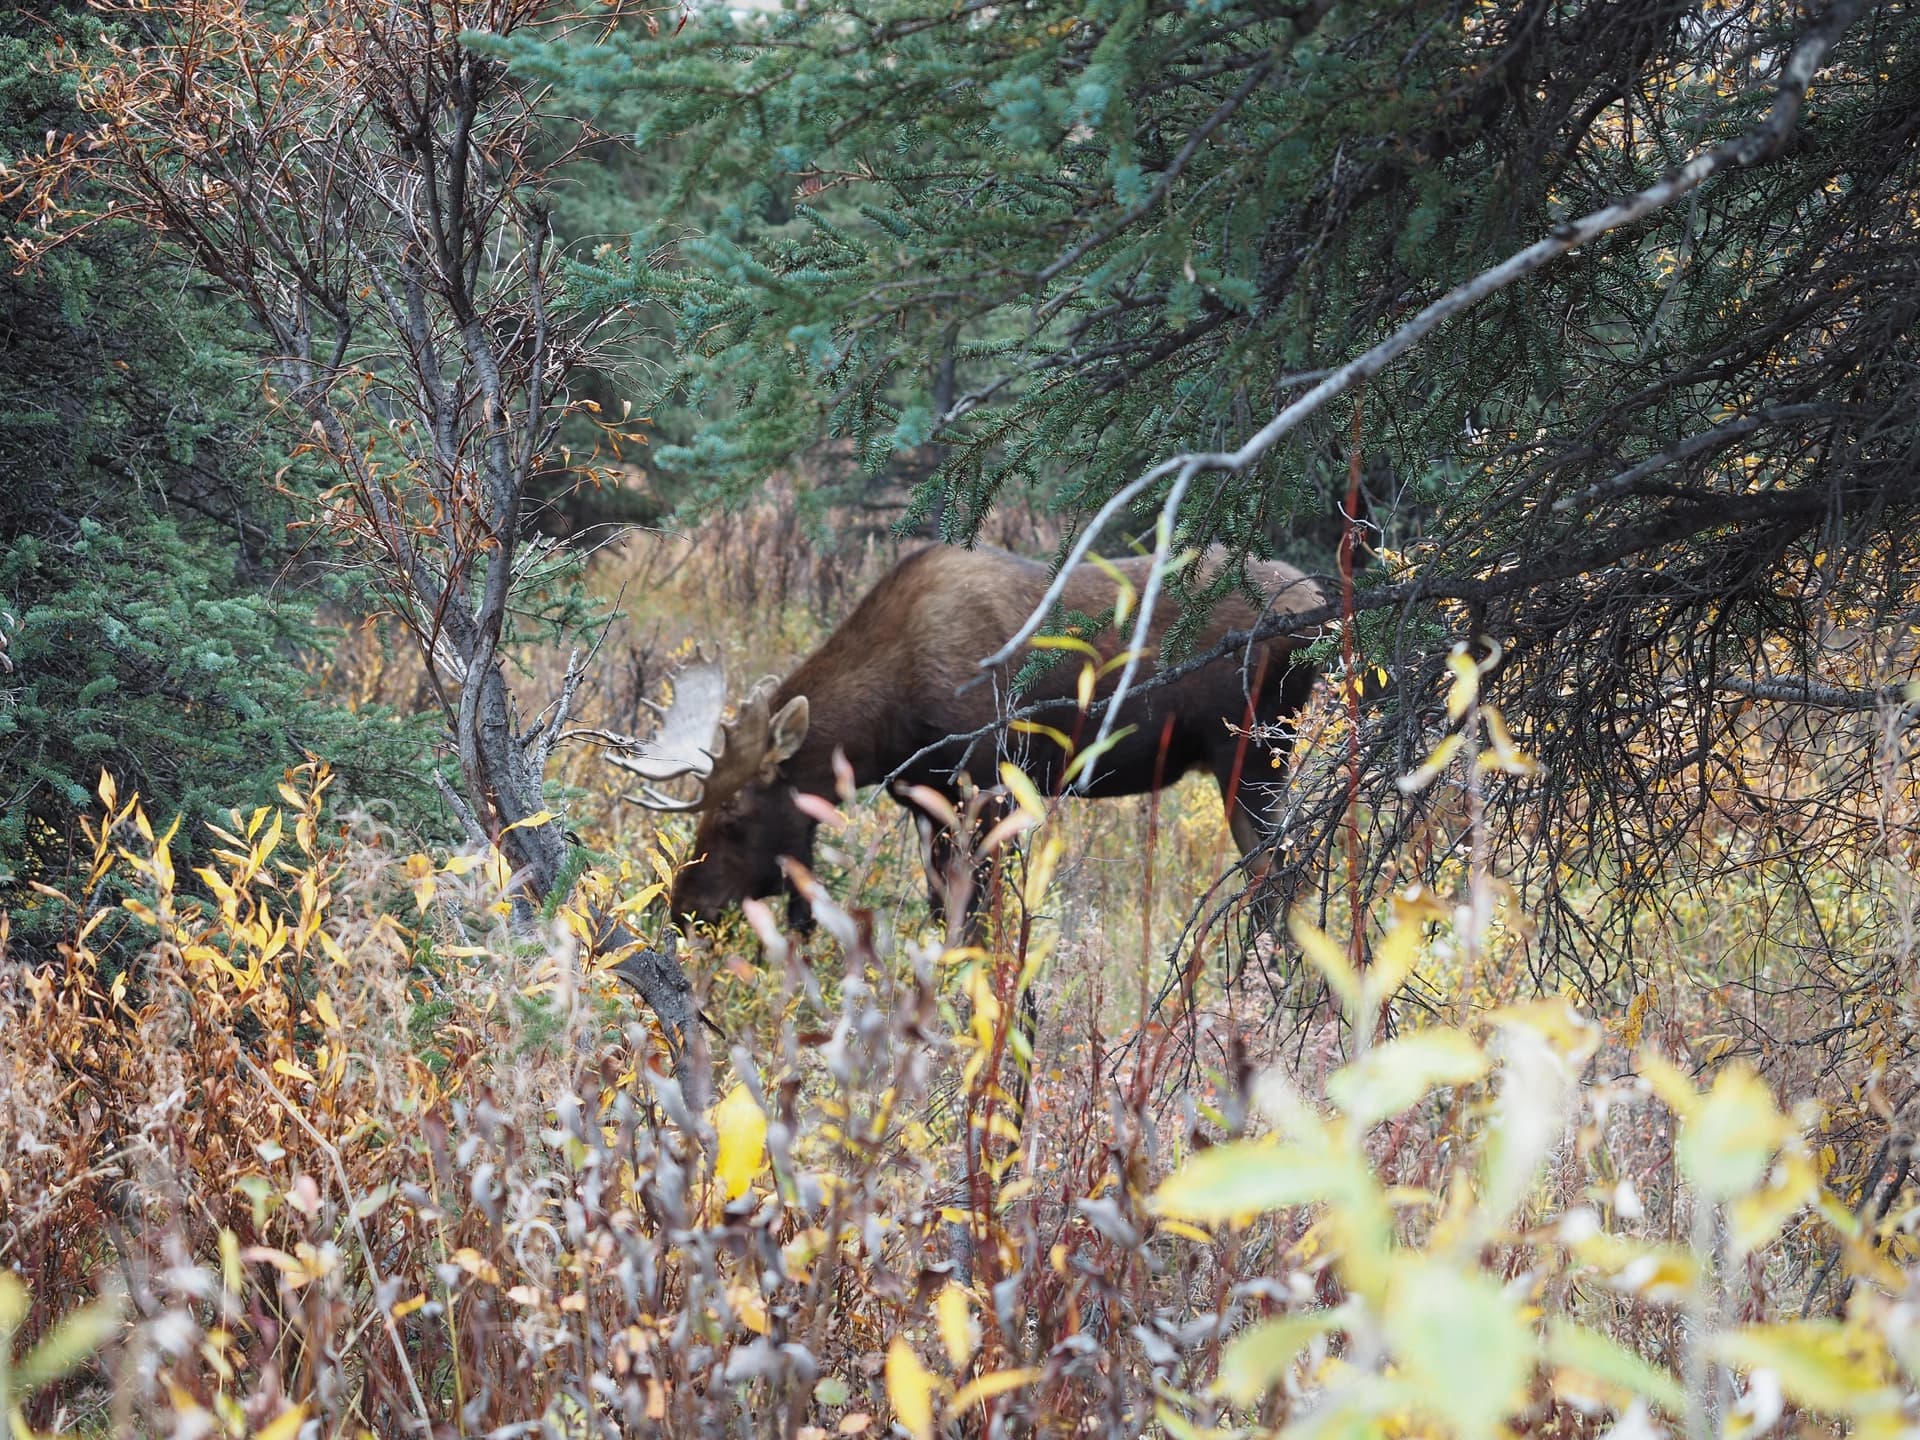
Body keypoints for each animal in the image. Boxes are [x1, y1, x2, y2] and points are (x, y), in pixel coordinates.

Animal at [610, 545, 1320, 936]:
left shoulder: (990, 783)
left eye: (734, 816)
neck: (884, 728)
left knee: (1280, 878)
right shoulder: (922, 795)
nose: (684, 910)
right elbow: (940, 908)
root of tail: (1316, 603)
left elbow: (975, 917)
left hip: (1251, 751)